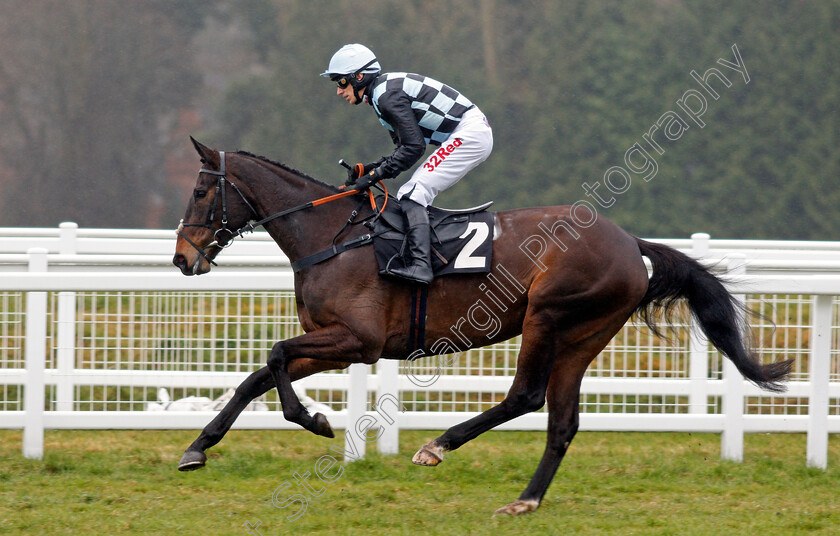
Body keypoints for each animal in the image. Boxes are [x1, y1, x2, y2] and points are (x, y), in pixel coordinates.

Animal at [172, 138, 796, 516]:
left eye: (201, 190)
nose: (182, 259)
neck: (333, 236)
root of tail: (628, 241)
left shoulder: (359, 341)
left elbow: (275, 356)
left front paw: (316, 420)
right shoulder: (335, 342)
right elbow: (256, 376)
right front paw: (197, 449)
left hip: (549, 316)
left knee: (526, 395)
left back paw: (438, 446)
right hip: (585, 336)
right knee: (562, 420)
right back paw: (526, 499)